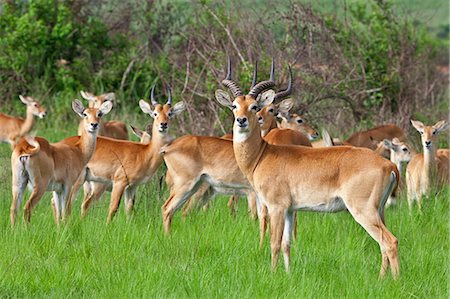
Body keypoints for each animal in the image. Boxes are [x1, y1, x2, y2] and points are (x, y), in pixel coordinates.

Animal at [70, 85, 185, 224]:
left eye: (170, 113)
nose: (163, 124)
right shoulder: (120, 183)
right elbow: (113, 208)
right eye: (155, 113)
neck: (145, 153)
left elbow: (129, 210)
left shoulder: (132, 187)